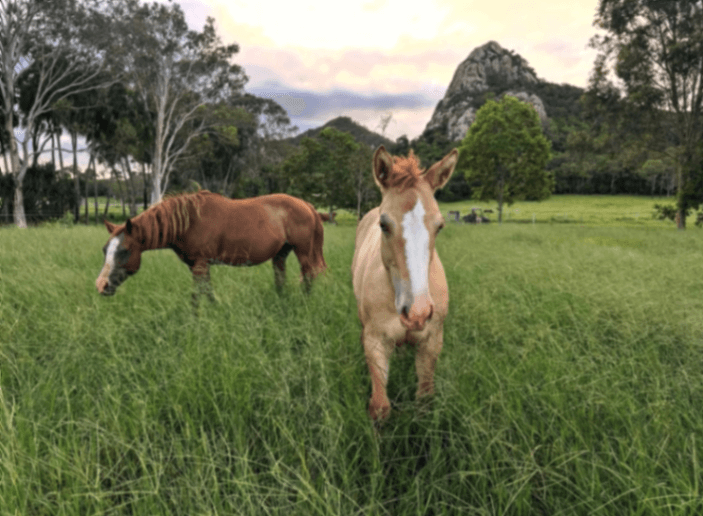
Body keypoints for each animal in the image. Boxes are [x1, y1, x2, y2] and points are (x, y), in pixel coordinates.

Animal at [95, 191, 327, 303]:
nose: (101, 286)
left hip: (303, 251)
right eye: (105, 250)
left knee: (309, 275)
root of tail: (307, 205)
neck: (189, 221)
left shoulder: (199, 264)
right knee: (281, 277)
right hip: (281, 253)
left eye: (124, 251)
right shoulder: (199, 265)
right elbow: (207, 291)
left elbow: (197, 296)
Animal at [352, 146, 458, 420]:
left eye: (440, 226)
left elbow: (424, 399)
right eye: (383, 224)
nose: (417, 313)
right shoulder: (376, 342)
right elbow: (380, 406)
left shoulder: (431, 342)